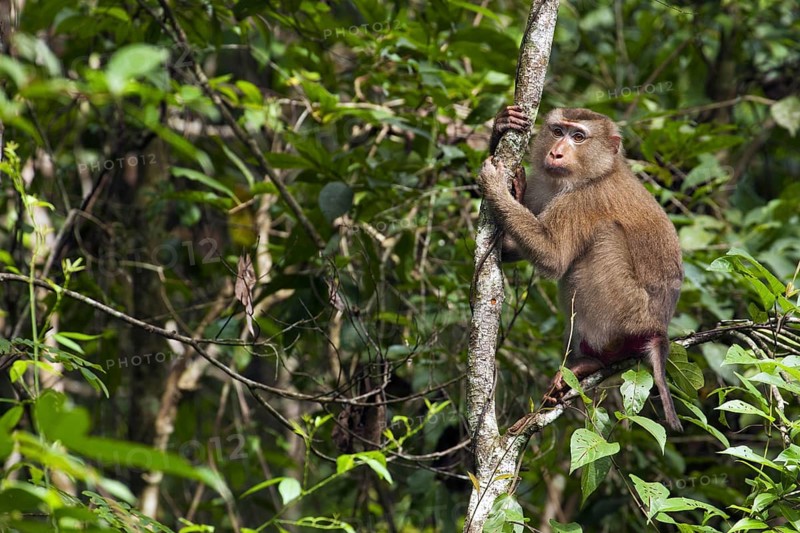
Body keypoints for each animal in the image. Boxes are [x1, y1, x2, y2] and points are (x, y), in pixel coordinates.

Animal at [478, 106, 684, 431]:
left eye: (578, 137)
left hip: (627, 311)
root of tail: (658, 331)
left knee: (602, 240)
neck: (597, 172)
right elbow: (511, 249)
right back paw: (591, 364)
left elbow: (552, 256)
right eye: (557, 131)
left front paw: (494, 185)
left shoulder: (586, 199)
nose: (556, 153)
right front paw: (502, 126)